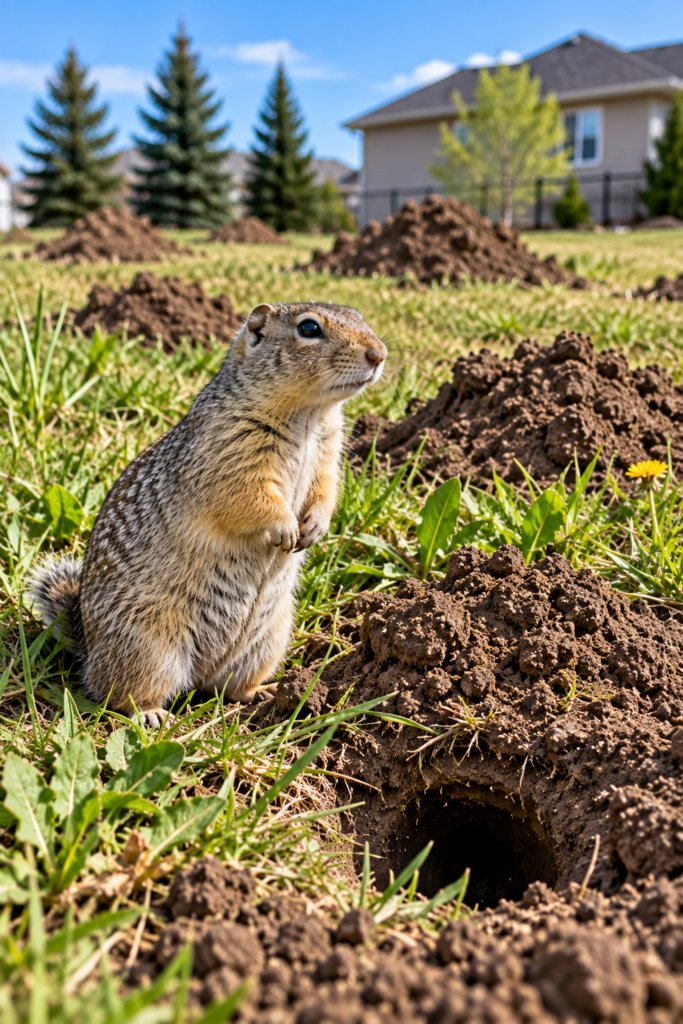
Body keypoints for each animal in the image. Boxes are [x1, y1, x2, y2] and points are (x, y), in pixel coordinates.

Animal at [30, 302, 387, 726]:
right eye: (309, 328)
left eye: (359, 315)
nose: (379, 355)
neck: (310, 415)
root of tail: (89, 649)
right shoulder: (228, 455)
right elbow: (250, 497)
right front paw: (285, 527)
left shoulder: (328, 457)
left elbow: (325, 492)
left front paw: (316, 527)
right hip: (150, 646)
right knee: (117, 693)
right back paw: (152, 713)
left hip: (269, 639)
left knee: (228, 687)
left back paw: (263, 693)